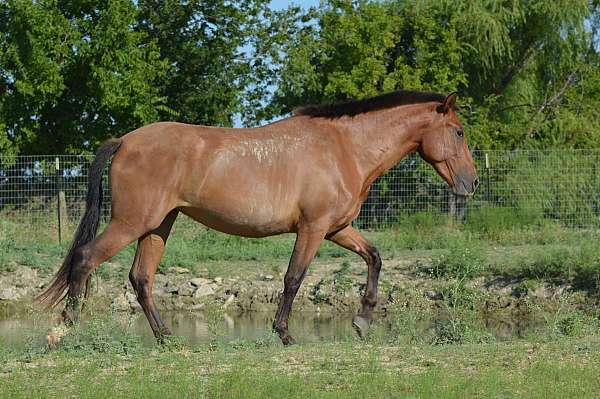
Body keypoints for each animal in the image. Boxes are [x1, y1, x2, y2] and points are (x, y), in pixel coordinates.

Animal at [37, 90, 478, 344]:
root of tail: (125, 140)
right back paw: (66, 330)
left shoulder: (337, 229)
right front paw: (285, 334)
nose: (471, 183)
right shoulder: (313, 229)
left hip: (158, 226)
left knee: (140, 278)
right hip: (131, 223)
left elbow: (374, 257)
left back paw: (166, 339)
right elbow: (294, 278)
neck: (343, 149)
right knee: (85, 260)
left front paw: (363, 321)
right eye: (458, 132)